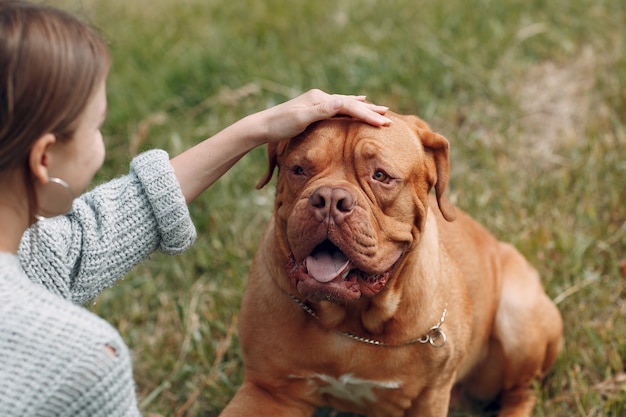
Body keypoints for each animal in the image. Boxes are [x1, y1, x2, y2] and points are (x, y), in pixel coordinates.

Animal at [222, 110, 564, 416]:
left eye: (380, 176)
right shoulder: (269, 391)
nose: (330, 199)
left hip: (517, 317)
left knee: (522, 392)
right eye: (298, 169)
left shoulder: (428, 399)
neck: (350, 324)